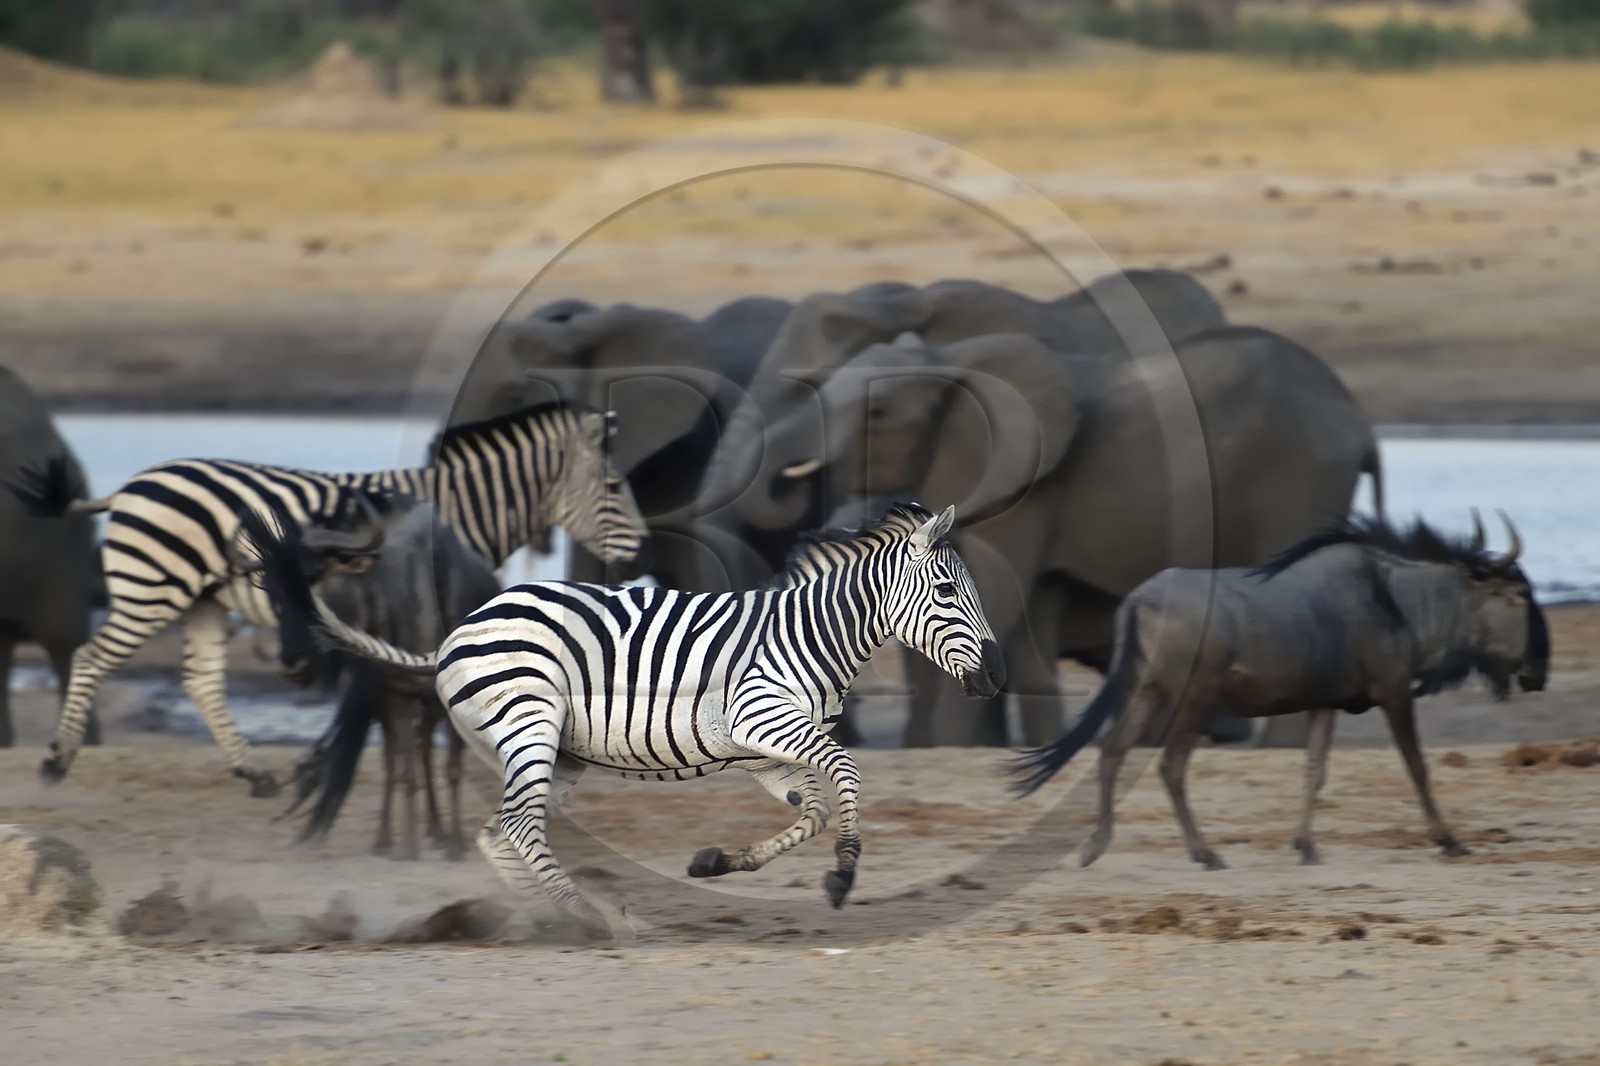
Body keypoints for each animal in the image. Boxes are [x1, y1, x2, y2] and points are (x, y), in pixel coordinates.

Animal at [11, 401, 645, 796]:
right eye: (615, 486)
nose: (641, 550)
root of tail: (132, 484)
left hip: (202, 599)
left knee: (200, 680)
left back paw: (255, 775)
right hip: (152, 588)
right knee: (92, 657)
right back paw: (54, 761)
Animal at [247, 501, 1007, 939]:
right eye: (946, 590)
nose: (998, 677)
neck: (808, 634)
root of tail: (458, 630)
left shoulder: (763, 752)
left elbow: (814, 807)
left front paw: (718, 862)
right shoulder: (761, 718)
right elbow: (844, 774)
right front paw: (844, 876)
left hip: (558, 755)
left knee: (501, 833)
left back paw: (561, 917)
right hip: (530, 726)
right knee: (517, 828)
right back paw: (592, 916)